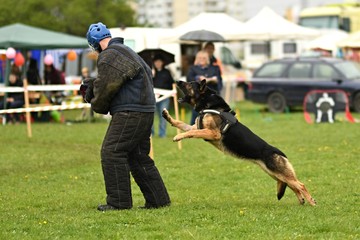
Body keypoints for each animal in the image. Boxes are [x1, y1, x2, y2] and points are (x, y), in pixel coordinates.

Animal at [162, 80, 316, 206]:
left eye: (189, 84)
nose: (177, 81)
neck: (209, 104)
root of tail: (279, 152)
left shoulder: (213, 133)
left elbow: (190, 133)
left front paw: (178, 136)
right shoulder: (196, 127)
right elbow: (180, 124)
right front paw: (167, 116)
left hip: (278, 172)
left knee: (300, 184)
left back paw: (311, 201)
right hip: (274, 174)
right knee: (293, 185)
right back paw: (301, 200)